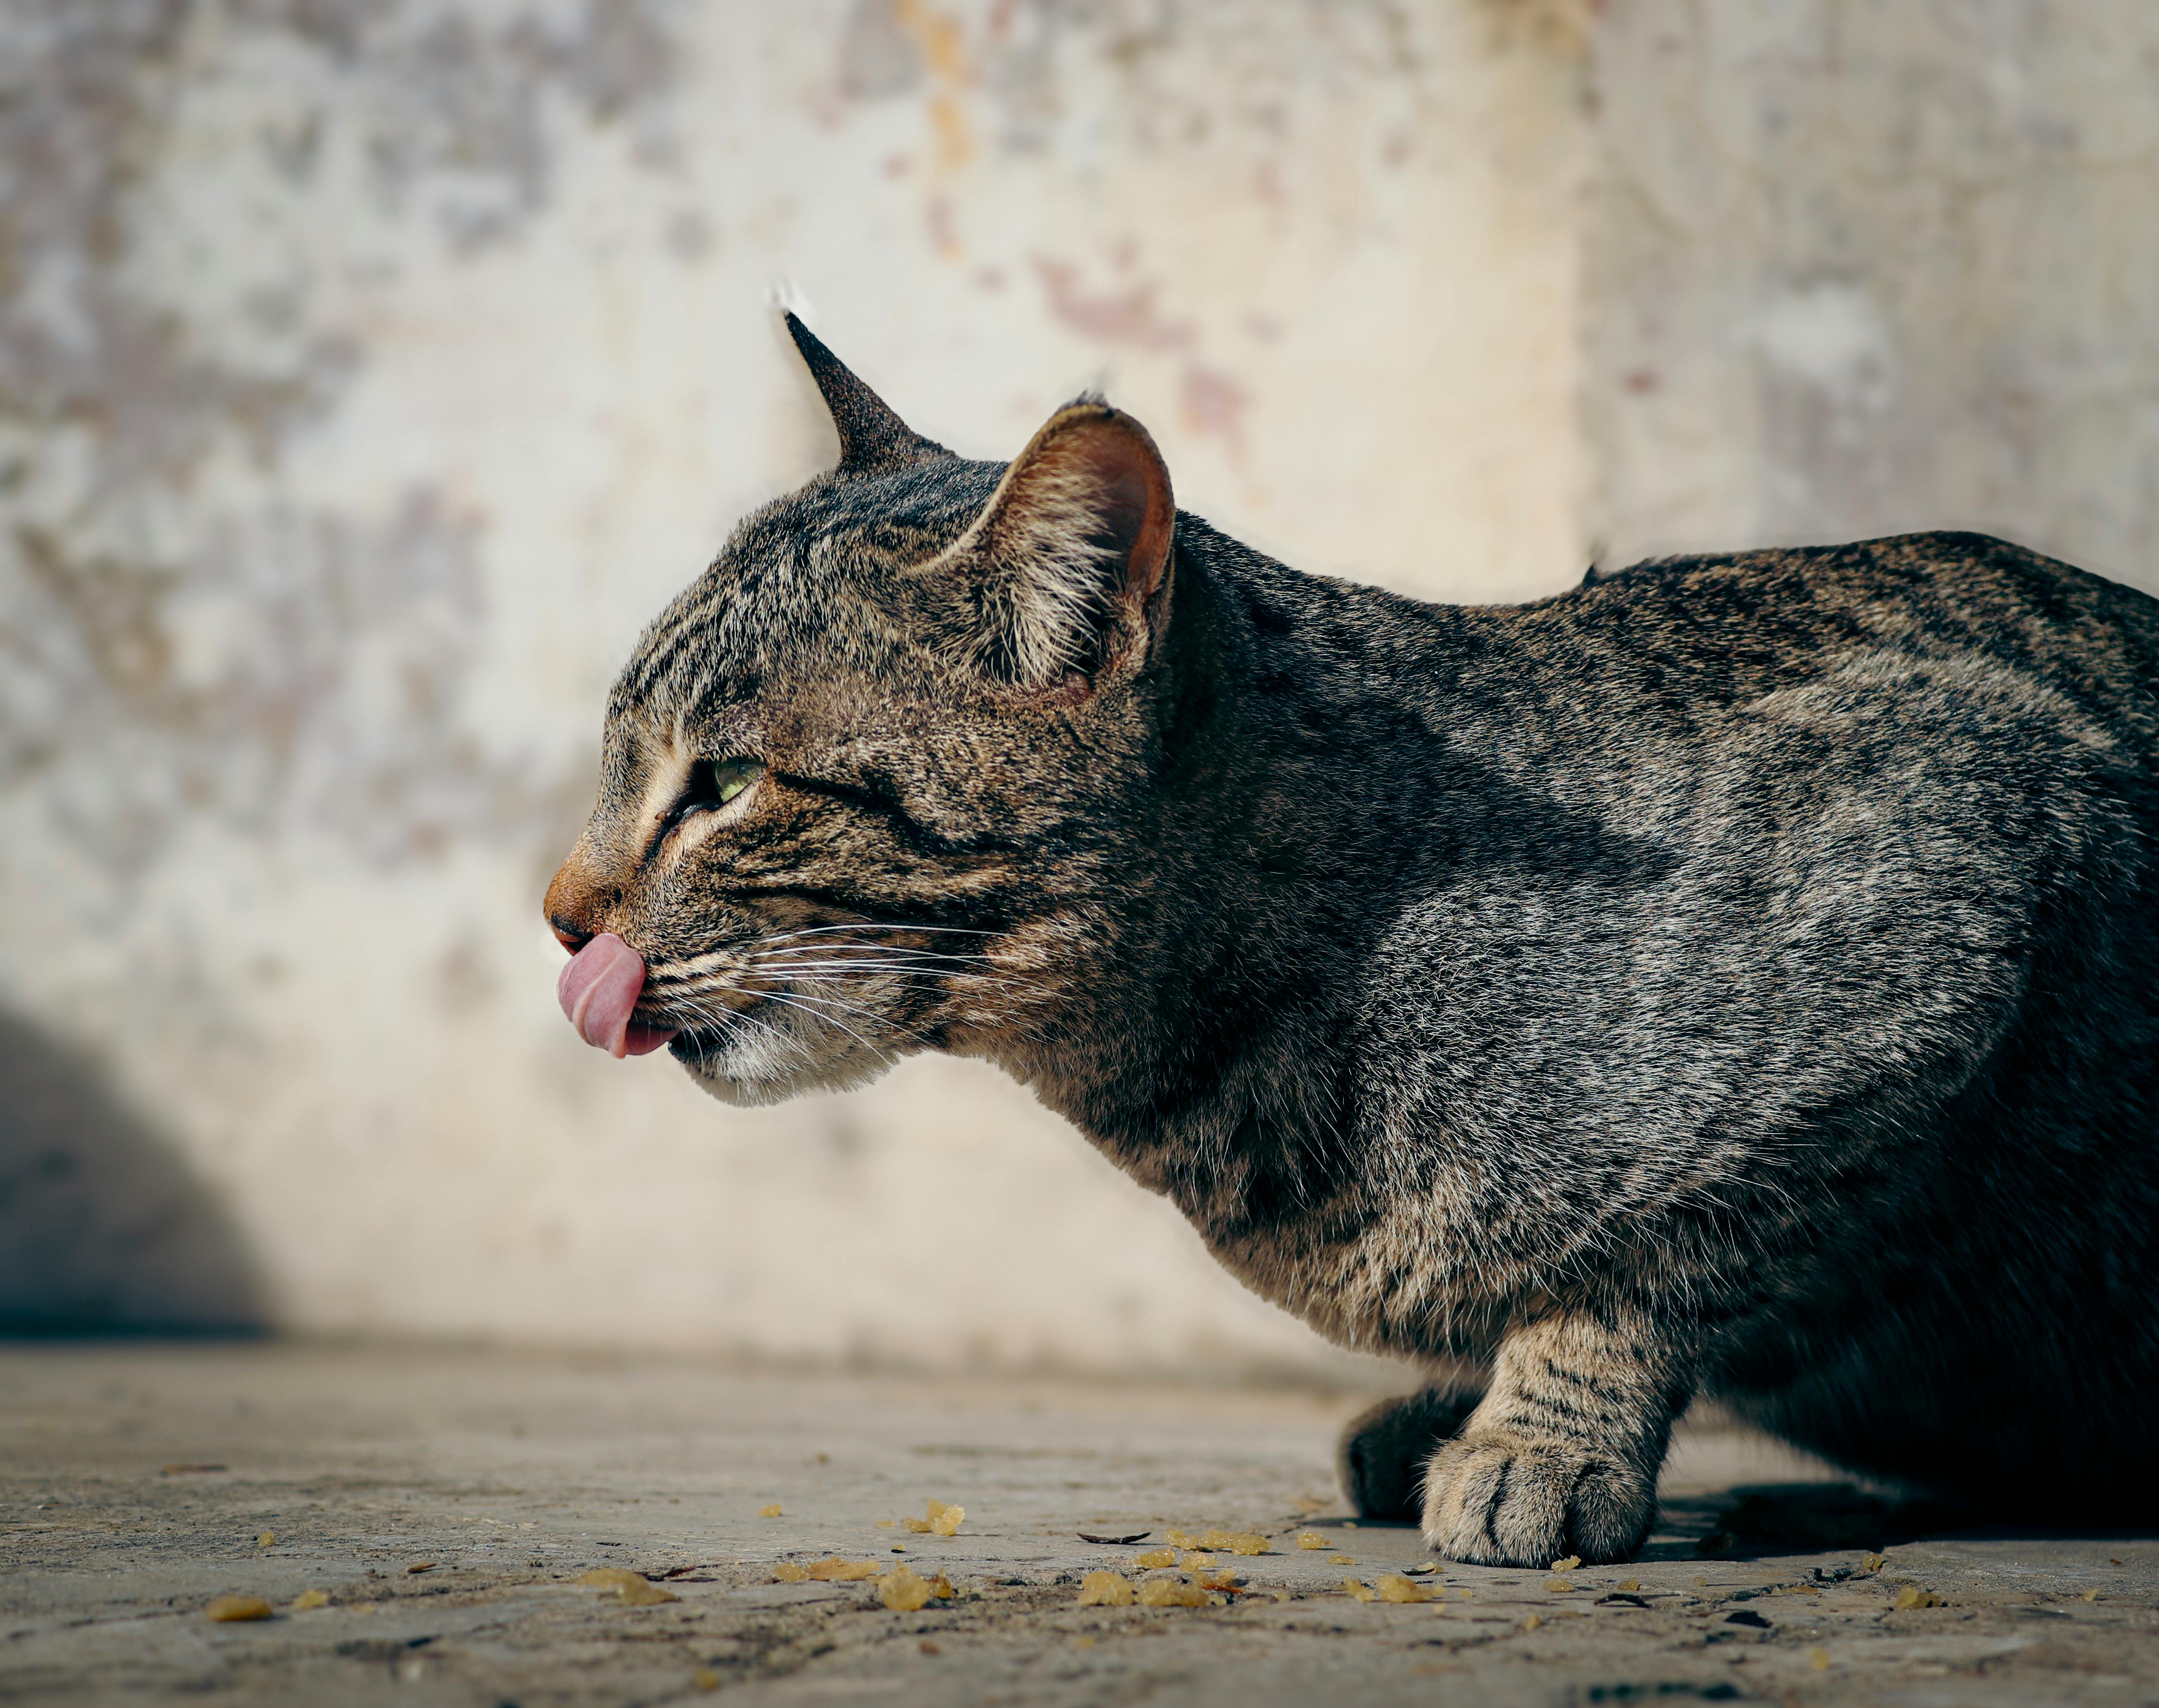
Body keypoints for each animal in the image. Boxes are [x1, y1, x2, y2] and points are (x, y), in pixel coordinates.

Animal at [544, 313, 2159, 1572]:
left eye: (725, 781)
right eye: (622, 753)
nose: (558, 914)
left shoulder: (1954, 875)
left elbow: (1659, 1254)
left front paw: (1540, 1435)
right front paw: (1458, 1405)